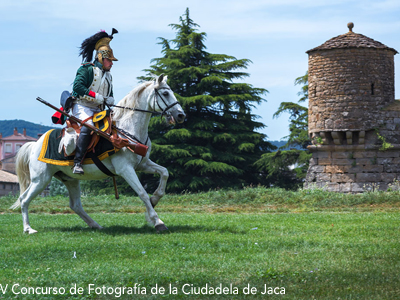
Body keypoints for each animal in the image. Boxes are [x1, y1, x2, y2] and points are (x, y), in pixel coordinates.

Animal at [10, 75, 186, 234]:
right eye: (165, 93)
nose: (181, 115)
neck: (127, 129)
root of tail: (35, 144)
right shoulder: (126, 169)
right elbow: (142, 192)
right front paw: (158, 222)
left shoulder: (143, 164)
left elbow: (164, 173)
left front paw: (154, 200)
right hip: (41, 179)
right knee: (24, 199)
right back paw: (28, 229)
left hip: (69, 180)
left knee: (75, 205)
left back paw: (95, 225)